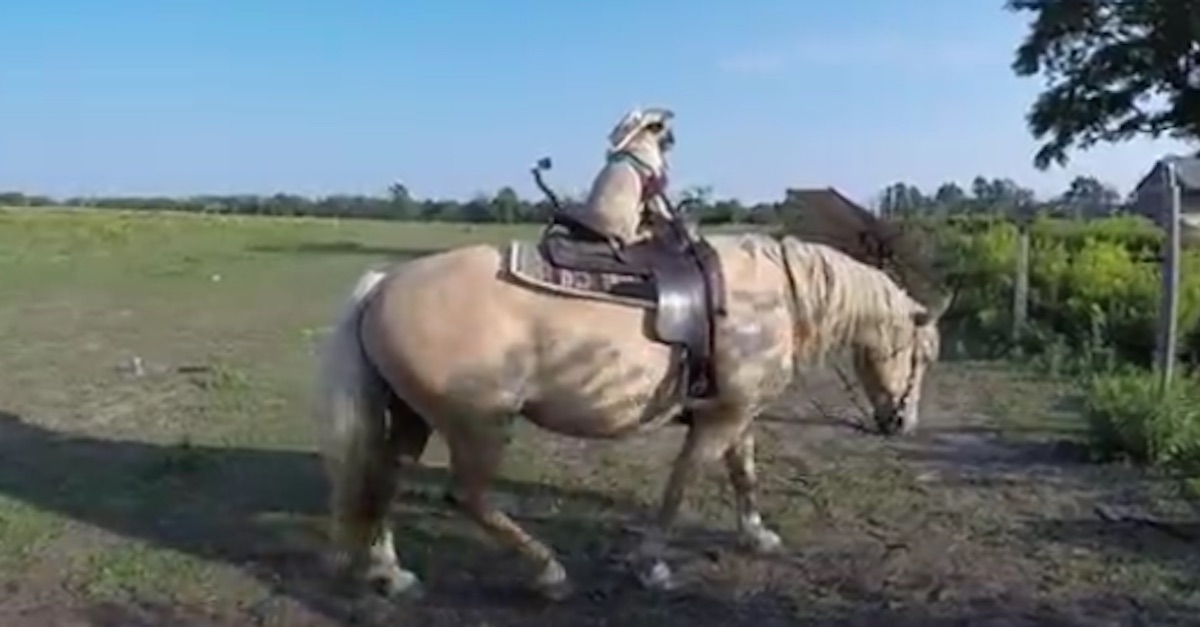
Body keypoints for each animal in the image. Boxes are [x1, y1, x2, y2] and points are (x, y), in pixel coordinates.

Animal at [311, 230, 946, 601]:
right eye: (923, 354)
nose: (902, 424)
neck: (770, 296)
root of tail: (386, 283)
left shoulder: (738, 414)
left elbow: (744, 474)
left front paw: (757, 534)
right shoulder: (719, 421)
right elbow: (681, 487)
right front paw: (651, 565)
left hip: (412, 417)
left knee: (386, 481)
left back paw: (390, 573)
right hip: (480, 427)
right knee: (467, 497)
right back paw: (548, 570)